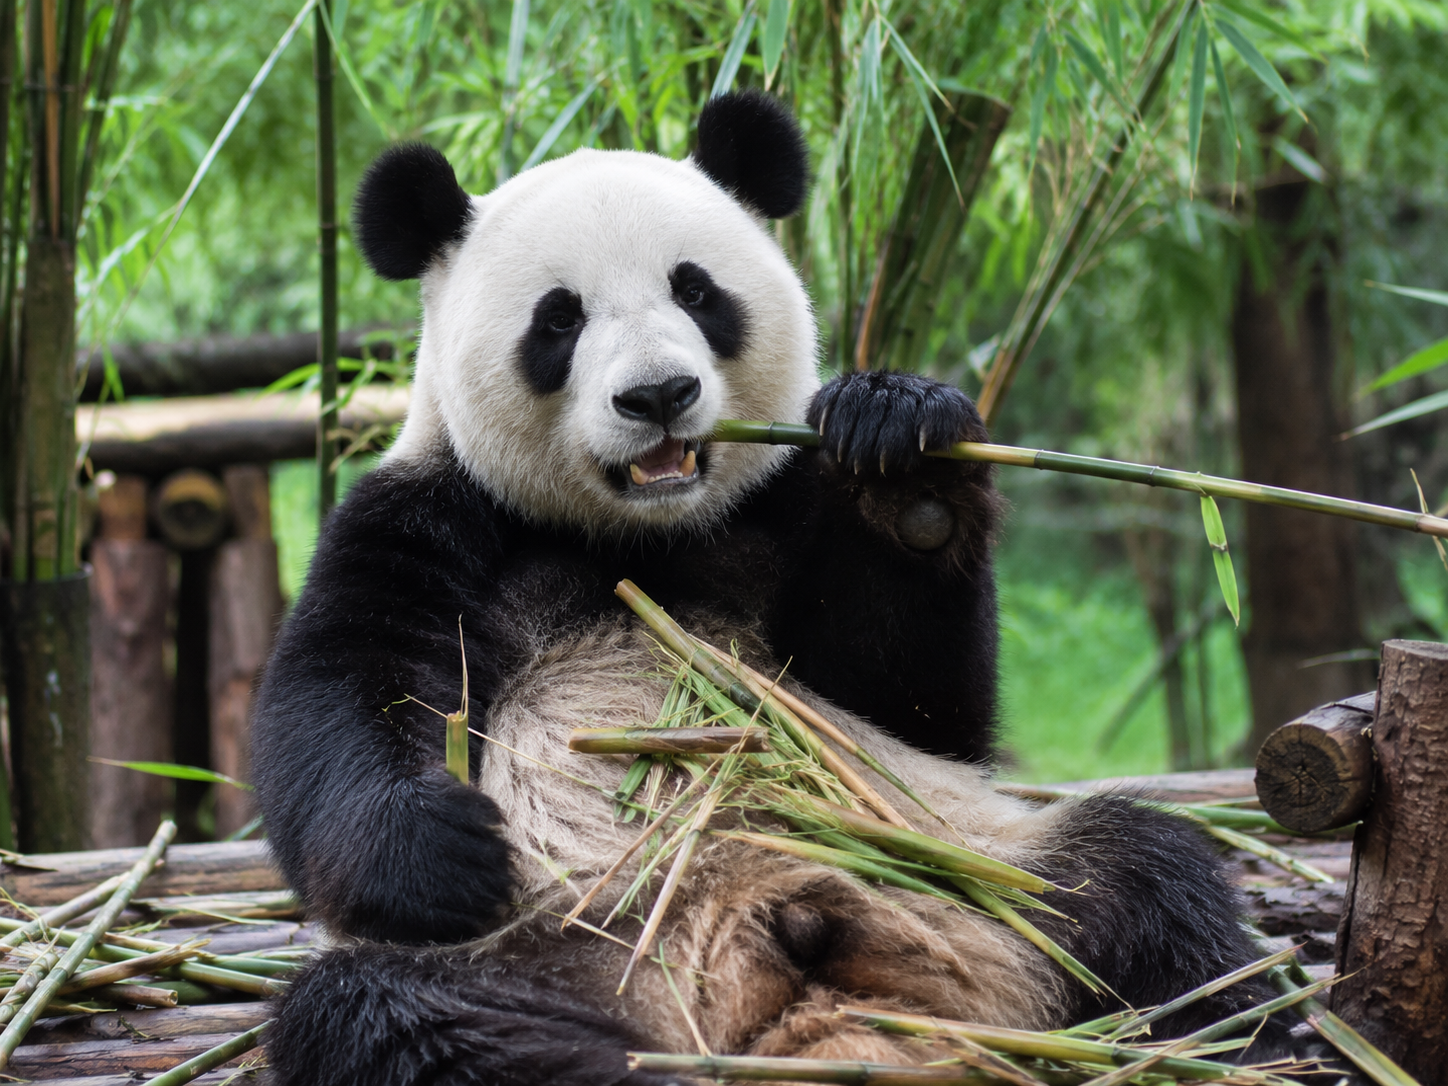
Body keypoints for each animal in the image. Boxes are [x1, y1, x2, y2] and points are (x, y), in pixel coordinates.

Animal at [252, 91, 1285, 1086]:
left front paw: (903, 461)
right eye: (559, 318)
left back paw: (1231, 1039)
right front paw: (443, 847)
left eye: (696, 289)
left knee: (1144, 880)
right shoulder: (429, 516)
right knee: (390, 1014)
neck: (643, 535)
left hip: (978, 870)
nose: (658, 395)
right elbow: (336, 702)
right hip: (557, 946)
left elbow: (916, 706)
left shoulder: (780, 503)